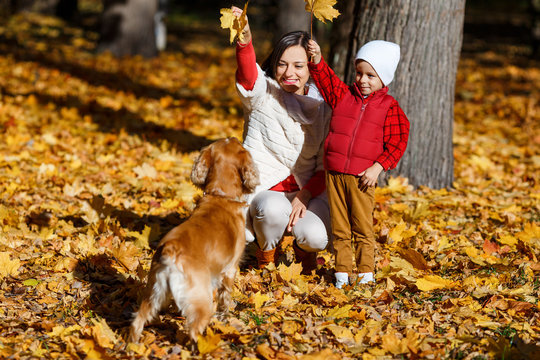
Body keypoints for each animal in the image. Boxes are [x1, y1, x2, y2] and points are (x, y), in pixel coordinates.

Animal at [129, 137, 260, 344]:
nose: (234, 136)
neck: (220, 196)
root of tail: (172, 250)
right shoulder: (230, 269)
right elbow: (225, 299)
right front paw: (225, 317)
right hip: (202, 298)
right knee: (193, 330)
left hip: (153, 292)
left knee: (137, 321)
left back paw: (133, 346)